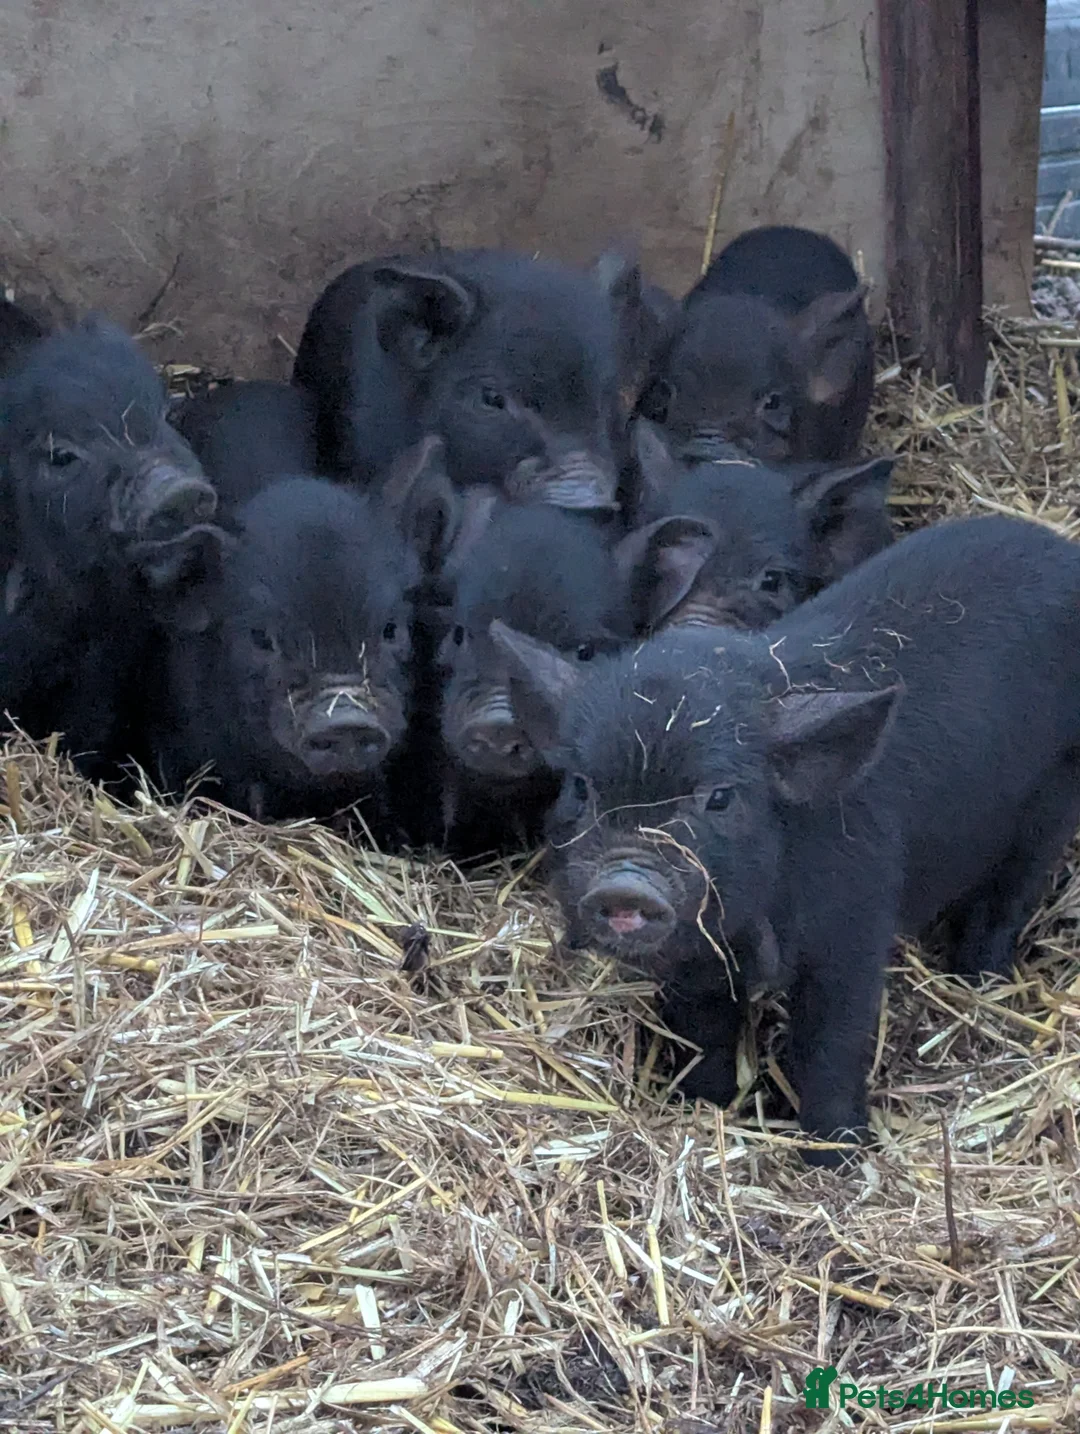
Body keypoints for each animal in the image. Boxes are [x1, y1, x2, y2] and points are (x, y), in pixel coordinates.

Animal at [491, 513, 1080, 1164]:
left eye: (720, 797)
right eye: (581, 786)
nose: (625, 881)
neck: (756, 924)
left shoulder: (857, 922)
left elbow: (832, 1041)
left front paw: (837, 1155)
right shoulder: (699, 958)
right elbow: (704, 1031)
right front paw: (702, 1106)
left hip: (1056, 791)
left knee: (1012, 892)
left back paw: (977, 981)